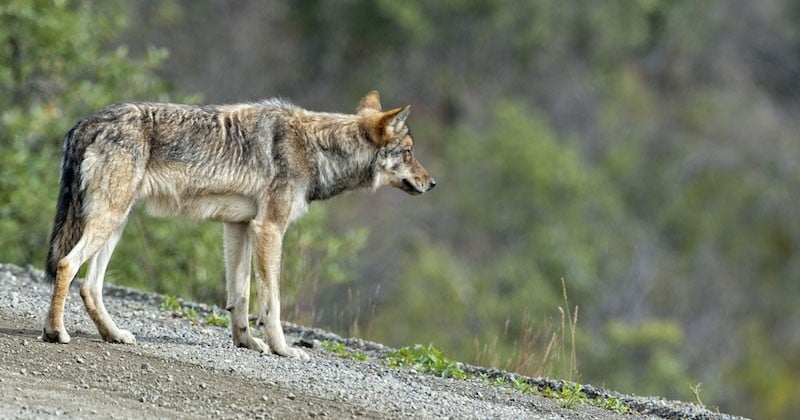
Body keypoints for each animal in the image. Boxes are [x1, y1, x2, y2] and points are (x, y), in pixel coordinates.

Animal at [40, 90, 434, 360]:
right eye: (409, 152)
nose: (432, 183)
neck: (317, 147)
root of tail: (90, 120)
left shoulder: (239, 226)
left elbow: (239, 296)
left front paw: (246, 342)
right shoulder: (269, 228)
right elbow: (272, 303)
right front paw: (283, 349)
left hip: (116, 223)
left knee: (90, 286)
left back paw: (114, 335)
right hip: (108, 220)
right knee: (67, 265)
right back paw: (55, 332)